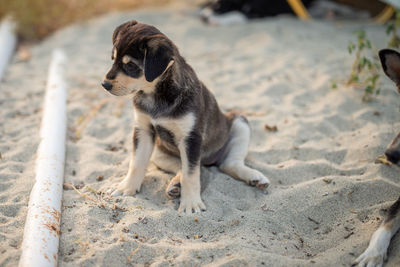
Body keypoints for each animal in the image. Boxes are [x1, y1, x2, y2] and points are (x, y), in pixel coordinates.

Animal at [100, 19, 270, 215]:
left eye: (130, 66)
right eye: (113, 59)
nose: (104, 84)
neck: (156, 94)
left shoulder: (190, 137)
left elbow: (191, 174)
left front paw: (190, 204)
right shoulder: (143, 130)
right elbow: (136, 163)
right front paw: (126, 188)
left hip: (239, 123)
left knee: (226, 163)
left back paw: (254, 177)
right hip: (159, 149)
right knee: (186, 166)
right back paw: (175, 184)